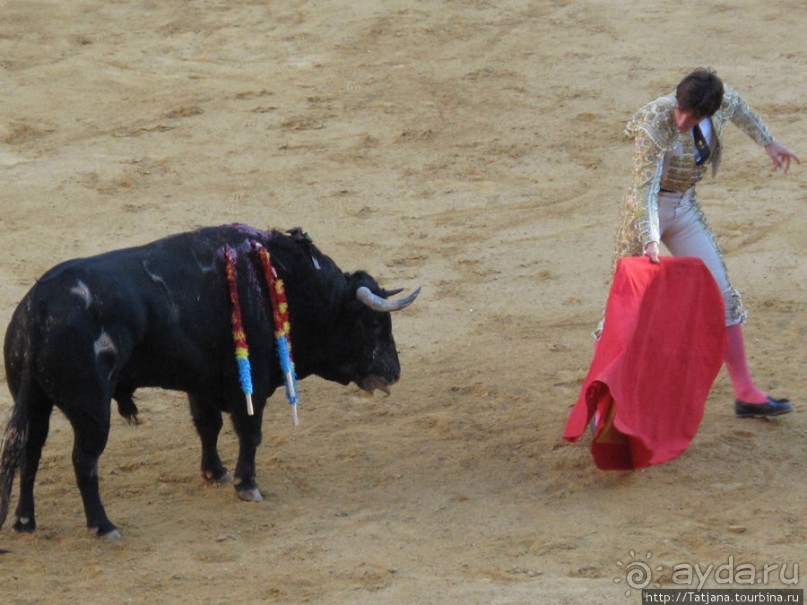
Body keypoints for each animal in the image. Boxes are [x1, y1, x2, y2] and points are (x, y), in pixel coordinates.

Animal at [0, 224, 416, 536]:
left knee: (30, 452)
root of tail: (39, 307)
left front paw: (214, 472)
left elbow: (207, 425)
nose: (394, 371)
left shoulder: (199, 383)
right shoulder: (250, 383)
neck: (288, 281)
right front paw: (247, 485)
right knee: (84, 461)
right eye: (373, 323)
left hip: (35, 402)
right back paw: (103, 526)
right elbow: (249, 433)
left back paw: (24, 520)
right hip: (91, 410)